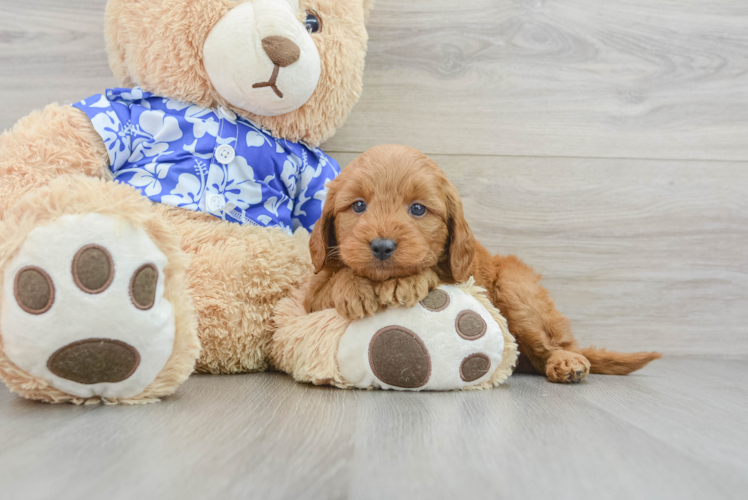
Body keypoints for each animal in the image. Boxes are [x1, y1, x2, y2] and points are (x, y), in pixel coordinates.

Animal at [306, 145, 664, 382]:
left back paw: (567, 362)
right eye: (358, 206)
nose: (382, 246)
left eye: (418, 209)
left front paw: (401, 280)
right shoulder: (312, 297)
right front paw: (355, 286)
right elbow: (331, 281)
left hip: (515, 289)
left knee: (553, 345)